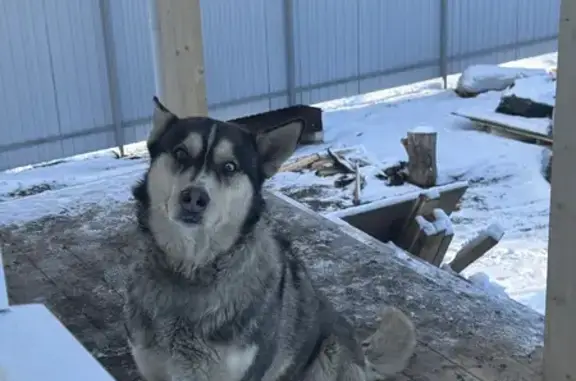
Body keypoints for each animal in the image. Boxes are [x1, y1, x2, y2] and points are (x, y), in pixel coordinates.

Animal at [124, 98, 416, 380]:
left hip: (329, 355)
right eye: (180, 153)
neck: (190, 270)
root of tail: (365, 358)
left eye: (230, 166)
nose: (194, 198)